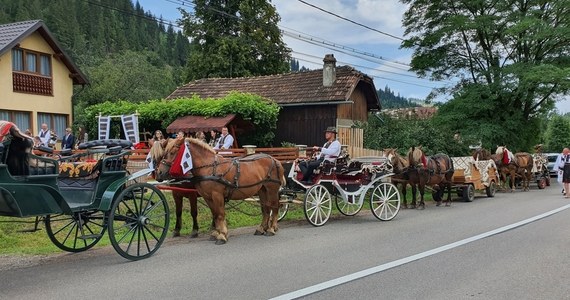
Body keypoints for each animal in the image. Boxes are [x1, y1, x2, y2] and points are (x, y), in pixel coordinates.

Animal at [154, 138, 284, 244]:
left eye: (172, 153)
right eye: (163, 153)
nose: (159, 173)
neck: (209, 167)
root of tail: (275, 160)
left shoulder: (217, 195)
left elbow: (220, 214)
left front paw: (222, 235)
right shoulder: (207, 197)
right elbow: (215, 214)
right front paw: (217, 233)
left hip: (272, 189)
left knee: (274, 207)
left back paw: (271, 229)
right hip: (262, 190)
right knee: (266, 209)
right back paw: (261, 228)